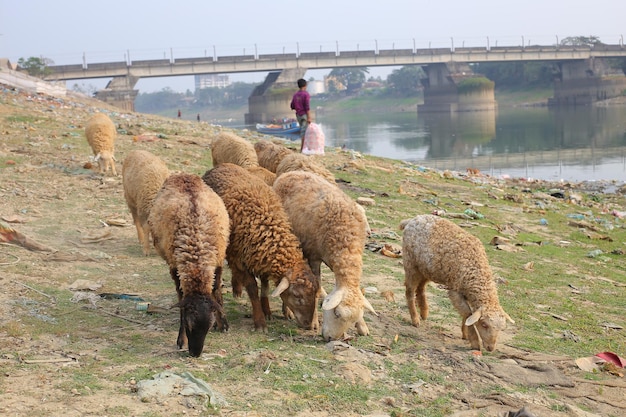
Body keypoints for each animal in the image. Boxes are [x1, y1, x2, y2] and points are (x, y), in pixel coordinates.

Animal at [147, 171, 229, 354]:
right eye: (189, 326)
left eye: (208, 328)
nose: (195, 354)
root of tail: (182, 174)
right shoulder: (175, 265)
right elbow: (181, 296)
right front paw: (181, 339)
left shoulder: (218, 258)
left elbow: (216, 289)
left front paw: (223, 323)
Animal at [201, 162, 320, 332]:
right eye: (297, 296)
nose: (308, 325)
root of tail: (222, 165)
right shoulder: (239, 258)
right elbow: (252, 289)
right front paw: (260, 321)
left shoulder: (260, 256)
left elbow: (265, 284)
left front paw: (267, 311)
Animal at [272, 170, 376, 342]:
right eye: (336, 313)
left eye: (352, 320)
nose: (331, 338)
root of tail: (292, 172)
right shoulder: (314, 257)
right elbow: (316, 287)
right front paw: (314, 321)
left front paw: (362, 326)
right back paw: (287, 311)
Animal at [400, 214, 512, 352]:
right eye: (484, 324)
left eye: (501, 328)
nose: (490, 348)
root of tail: (412, 219)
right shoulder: (455, 290)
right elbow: (468, 313)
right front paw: (474, 342)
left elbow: (467, 316)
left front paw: (465, 334)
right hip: (411, 263)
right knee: (410, 290)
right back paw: (415, 319)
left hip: (427, 268)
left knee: (420, 288)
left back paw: (424, 312)